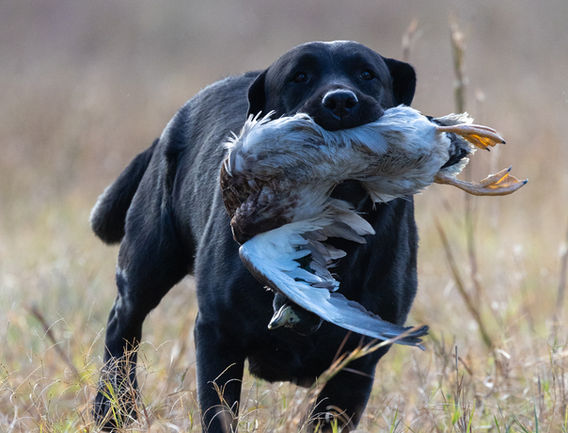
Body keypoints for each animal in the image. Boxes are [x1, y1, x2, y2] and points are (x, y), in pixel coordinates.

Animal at [91, 40, 418, 432]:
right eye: (299, 76)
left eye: (367, 74)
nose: (340, 101)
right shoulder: (218, 336)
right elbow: (219, 414)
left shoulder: (357, 364)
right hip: (148, 262)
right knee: (122, 328)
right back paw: (113, 409)